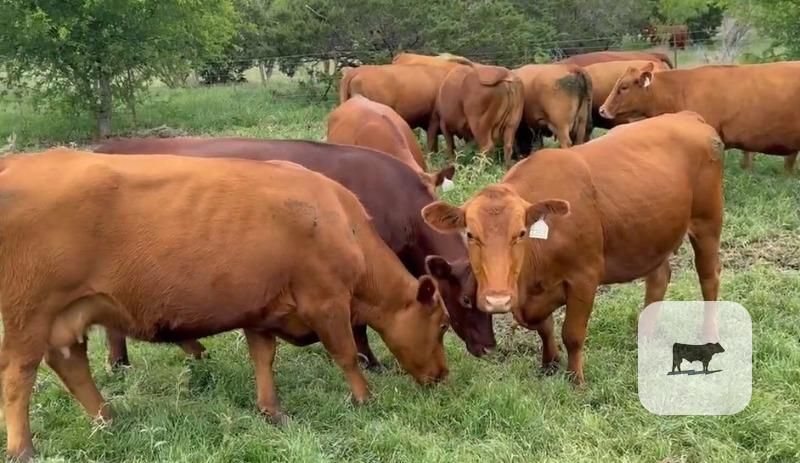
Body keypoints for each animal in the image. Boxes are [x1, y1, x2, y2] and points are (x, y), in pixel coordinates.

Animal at [0, 149, 450, 460]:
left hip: (66, 315)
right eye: (444, 324)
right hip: (28, 315)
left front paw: (273, 411)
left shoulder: (262, 309)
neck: (344, 224)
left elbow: (263, 359)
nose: (443, 376)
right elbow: (345, 354)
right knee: (18, 376)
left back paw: (106, 419)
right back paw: (23, 448)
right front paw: (364, 398)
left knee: (71, 365)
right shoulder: (327, 301)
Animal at [422, 112, 724, 385]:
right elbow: (544, 326)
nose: (497, 299)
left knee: (709, 277)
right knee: (659, 277)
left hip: (707, 223)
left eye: (521, 233)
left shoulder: (584, 278)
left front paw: (575, 378)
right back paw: (646, 332)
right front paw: (549, 362)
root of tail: (689, 116)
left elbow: (572, 334)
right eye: (470, 234)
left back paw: (709, 333)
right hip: (652, 236)